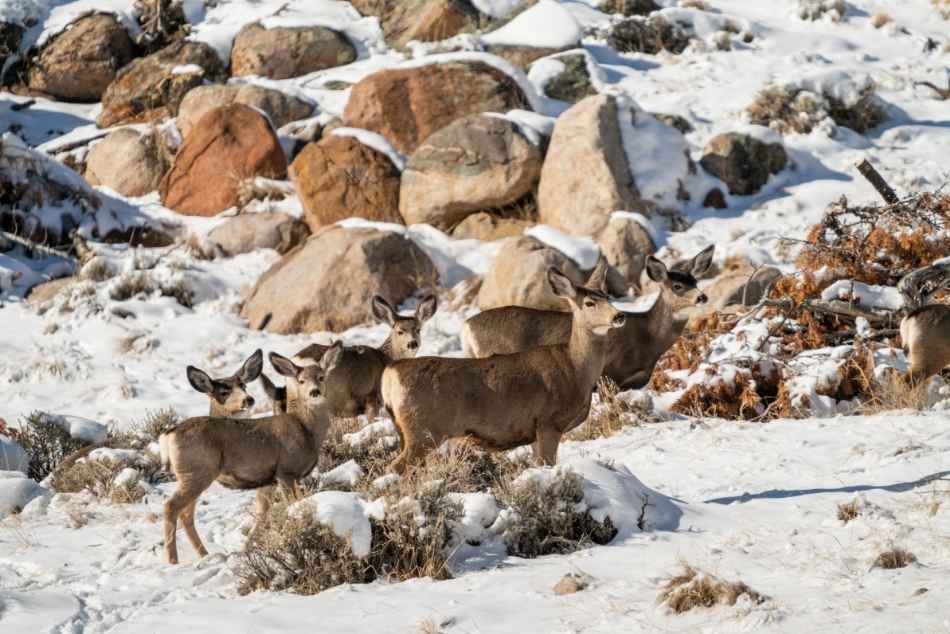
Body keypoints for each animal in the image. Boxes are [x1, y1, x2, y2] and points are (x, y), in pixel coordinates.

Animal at [159, 343, 343, 565]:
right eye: (301, 381)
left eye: (322, 377)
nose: (315, 392)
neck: (306, 430)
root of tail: (169, 434)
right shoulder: (286, 472)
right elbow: (292, 506)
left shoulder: (273, 480)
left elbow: (265, 512)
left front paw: (247, 549)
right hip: (196, 472)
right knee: (171, 507)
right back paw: (173, 561)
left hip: (191, 475)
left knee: (186, 513)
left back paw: (205, 556)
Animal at [289, 294, 438, 418]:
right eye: (400, 331)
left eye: (418, 330)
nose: (412, 343)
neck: (386, 358)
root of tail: (299, 360)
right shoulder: (373, 395)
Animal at [381, 268, 626, 474]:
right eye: (589, 303)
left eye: (608, 297)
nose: (619, 316)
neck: (575, 369)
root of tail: (390, 374)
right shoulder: (549, 421)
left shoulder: (534, 431)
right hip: (423, 429)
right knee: (395, 467)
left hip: (407, 430)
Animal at [461, 246, 714, 390]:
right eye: (677, 286)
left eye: (695, 281)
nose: (702, 296)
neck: (649, 338)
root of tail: (466, 327)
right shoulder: (610, 374)